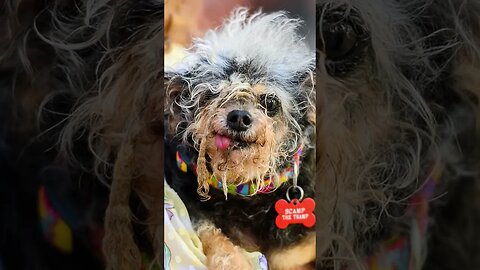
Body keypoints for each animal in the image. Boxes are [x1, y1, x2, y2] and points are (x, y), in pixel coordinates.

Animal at [164, 7, 316, 268]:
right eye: (210, 96)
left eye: (270, 102)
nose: (239, 117)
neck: (247, 191)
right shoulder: (193, 206)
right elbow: (215, 237)